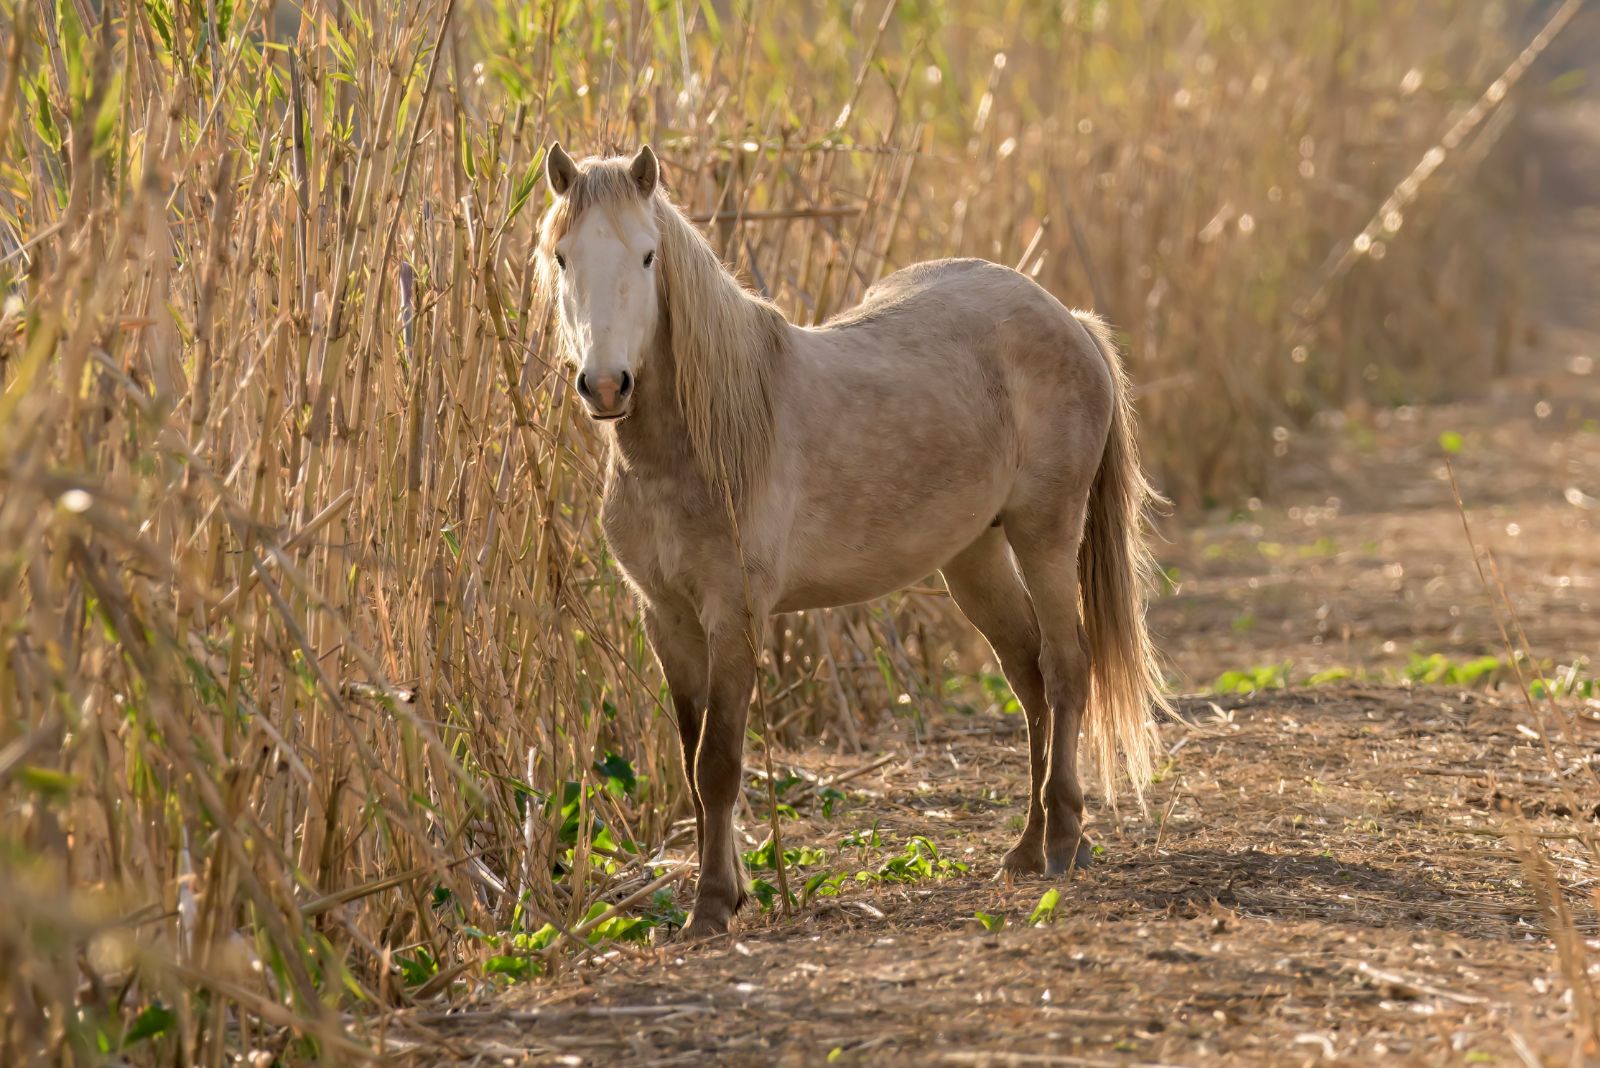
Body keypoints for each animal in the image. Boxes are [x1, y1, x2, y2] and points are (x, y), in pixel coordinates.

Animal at [537, 143, 1177, 940]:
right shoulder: (667, 619)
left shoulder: (734, 615)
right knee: (1028, 676)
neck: (700, 444)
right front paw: (730, 889)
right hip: (973, 558)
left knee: (1065, 668)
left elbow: (718, 761)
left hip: (1046, 534)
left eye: (648, 255)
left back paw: (1061, 838)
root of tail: (1068, 318)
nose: (605, 386)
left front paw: (713, 904)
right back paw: (1031, 847)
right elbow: (691, 761)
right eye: (562, 256)